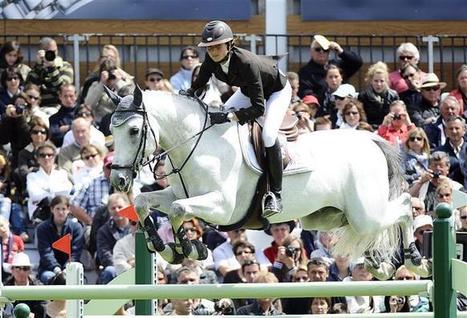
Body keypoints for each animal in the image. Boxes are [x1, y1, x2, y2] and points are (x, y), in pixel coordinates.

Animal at [108, 85, 422, 268]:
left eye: (134, 131)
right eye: (111, 130)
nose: (118, 181)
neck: (199, 144)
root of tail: (372, 140)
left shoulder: (223, 207)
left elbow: (176, 210)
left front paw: (187, 247)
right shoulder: (178, 193)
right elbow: (144, 203)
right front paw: (164, 247)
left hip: (365, 212)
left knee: (405, 207)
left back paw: (414, 259)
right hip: (326, 216)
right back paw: (376, 264)